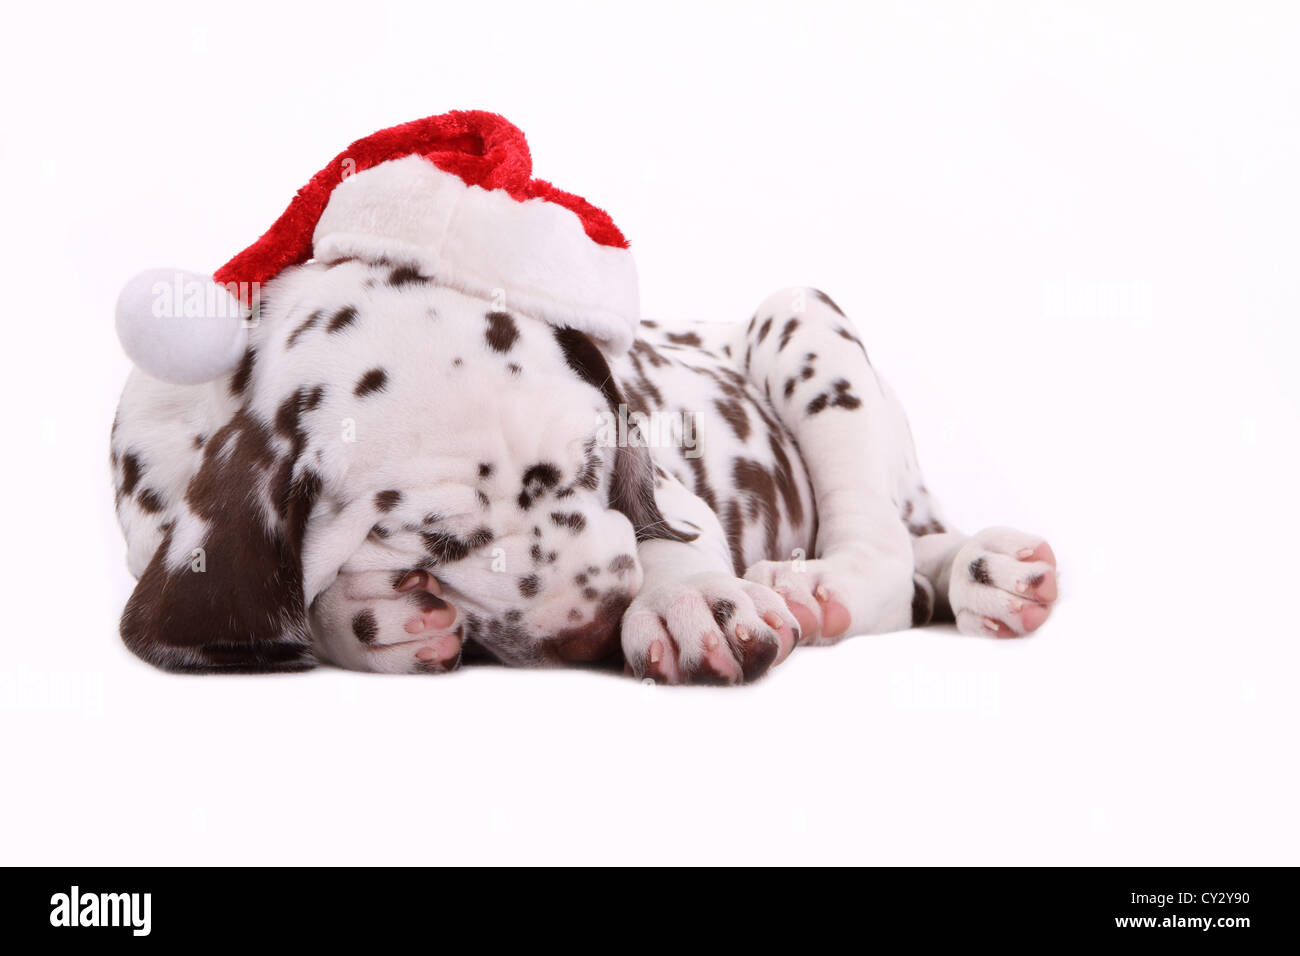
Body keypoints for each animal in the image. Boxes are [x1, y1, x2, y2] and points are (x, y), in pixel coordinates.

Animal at [106, 260, 1050, 681]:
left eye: (597, 464)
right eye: (440, 540)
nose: (598, 628)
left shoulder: (663, 484)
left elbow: (668, 534)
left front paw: (685, 604)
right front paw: (370, 619)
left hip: (804, 325)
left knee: (889, 555)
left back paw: (851, 583)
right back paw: (986, 575)